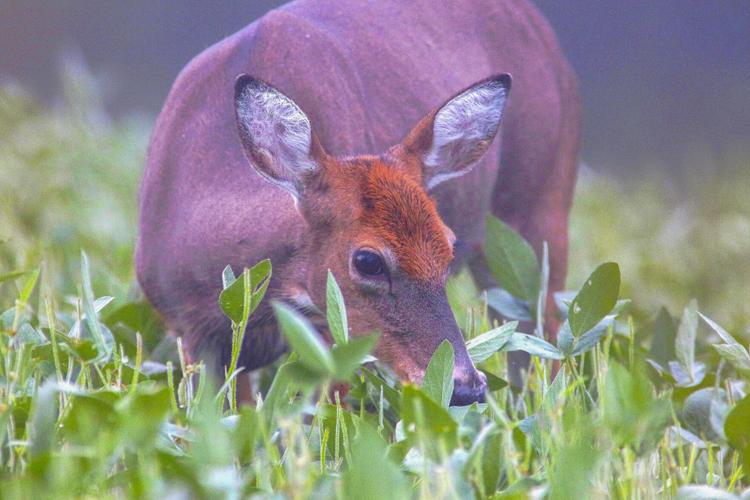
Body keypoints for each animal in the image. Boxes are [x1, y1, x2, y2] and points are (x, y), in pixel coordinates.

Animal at [135, 0, 580, 406]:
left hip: (540, 206)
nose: (465, 386)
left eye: (449, 245)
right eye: (368, 260)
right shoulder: (193, 336)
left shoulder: (332, 336)